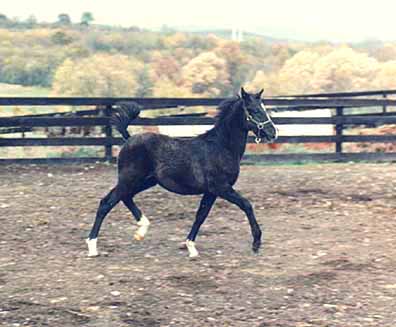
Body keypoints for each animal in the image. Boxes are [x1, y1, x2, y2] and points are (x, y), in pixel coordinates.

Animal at [86, 88, 278, 258]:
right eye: (253, 110)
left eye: (264, 109)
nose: (273, 133)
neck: (220, 147)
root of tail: (128, 139)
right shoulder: (221, 187)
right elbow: (246, 205)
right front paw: (256, 243)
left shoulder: (211, 192)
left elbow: (201, 215)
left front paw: (191, 248)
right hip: (129, 179)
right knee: (106, 202)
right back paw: (92, 247)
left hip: (145, 181)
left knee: (125, 198)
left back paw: (141, 230)